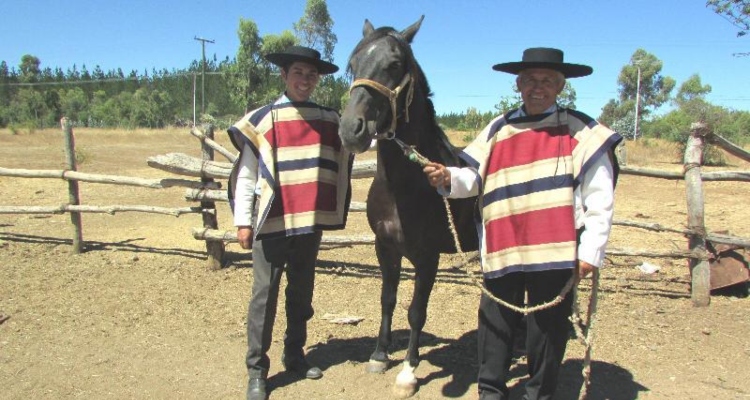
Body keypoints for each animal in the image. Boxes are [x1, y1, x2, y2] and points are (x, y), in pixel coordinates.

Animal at [340, 14, 478, 396]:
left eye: (394, 64)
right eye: (352, 64)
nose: (351, 129)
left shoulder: (427, 257)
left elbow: (416, 310)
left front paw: (408, 372)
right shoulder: (385, 247)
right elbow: (387, 299)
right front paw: (379, 355)